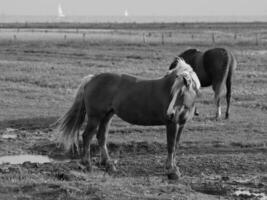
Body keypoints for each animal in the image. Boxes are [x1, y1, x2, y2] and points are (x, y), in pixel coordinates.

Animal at [55, 58, 201, 180]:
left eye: (181, 93)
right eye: (173, 92)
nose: (170, 113)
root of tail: (92, 79)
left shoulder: (181, 124)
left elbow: (176, 145)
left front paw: (174, 168)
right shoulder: (172, 124)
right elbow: (171, 146)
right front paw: (171, 170)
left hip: (107, 116)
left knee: (101, 136)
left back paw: (108, 164)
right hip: (95, 116)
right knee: (87, 136)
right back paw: (87, 164)